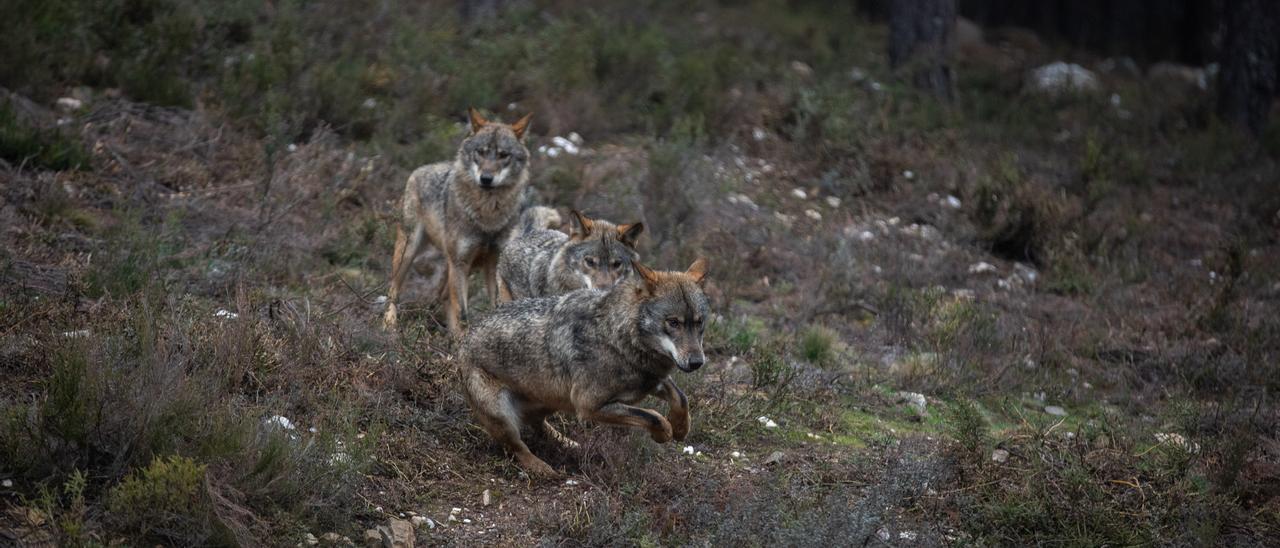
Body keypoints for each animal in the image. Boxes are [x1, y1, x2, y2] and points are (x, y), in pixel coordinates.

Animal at [383, 108, 533, 335]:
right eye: (480, 152)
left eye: (503, 155)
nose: (486, 179)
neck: (487, 215)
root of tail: (420, 169)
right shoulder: (460, 263)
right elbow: (462, 313)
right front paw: (464, 342)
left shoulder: (493, 263)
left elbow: (495, 305)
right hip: (409, 253)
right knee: (394, 289)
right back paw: (389, 323)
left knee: (444, 296)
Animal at [459, 258, 710, 477]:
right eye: (673, 322)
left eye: (699, 323)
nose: (697, 363)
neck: (616, 336)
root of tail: (463, 341)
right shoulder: (589, 406)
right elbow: (654, 416)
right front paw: (664, 433)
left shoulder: (652, 381)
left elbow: (681, 399)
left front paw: (680, 428)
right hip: (503, 416)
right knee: (516, 447)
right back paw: (543, 469)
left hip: (552, 402)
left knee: (538, 425)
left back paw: (569, 444)